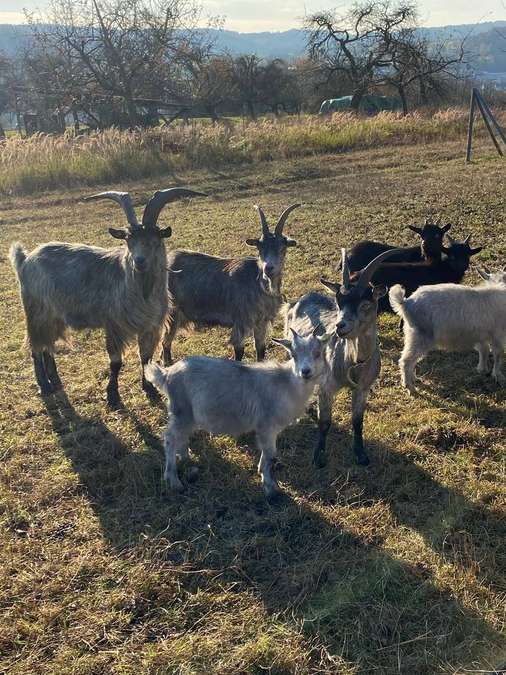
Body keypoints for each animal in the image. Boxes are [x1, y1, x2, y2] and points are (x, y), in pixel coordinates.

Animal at [10, 188, 206, 408]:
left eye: (155, 239)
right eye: (128, 240)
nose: (139, 261)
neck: (141, 292)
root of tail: (25, 259)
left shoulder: (150, 327)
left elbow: (145, 358)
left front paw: (149, 389)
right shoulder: (114, 325)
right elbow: (115, 362)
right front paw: (112, 395)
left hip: (54, 316)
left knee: (47, 347)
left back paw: (56, 382)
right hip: (36, 311)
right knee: (36, 347)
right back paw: (44, 386)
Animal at [145, 326, 330, 499]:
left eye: (317, 353)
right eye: (293, 355)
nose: (305, 371)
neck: (287, 384)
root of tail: (167, 373)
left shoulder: (270, 428)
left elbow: (267, 454)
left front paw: (261, 471)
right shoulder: (266, 425)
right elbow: (270, 455)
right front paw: (270, 487)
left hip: (187, 415)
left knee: (181, 437)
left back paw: (187, 460)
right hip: (181, 410)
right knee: (170, 438)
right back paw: (173, 480)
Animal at [162, 204, 300, 364]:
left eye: (282, 248)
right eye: (259, 248)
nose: (268, 268)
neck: (260, 285)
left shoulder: (261, 322)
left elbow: (260, 350)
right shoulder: (241, 321)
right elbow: (239, 351)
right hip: (172, 312)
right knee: (165, 342)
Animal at [286, 246, 402, 467]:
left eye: (365, 303)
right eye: (339, 303)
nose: (340, 326)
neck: (354, 363)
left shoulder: (363, 388)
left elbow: (357, 421)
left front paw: (361, 455)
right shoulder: (327, 387)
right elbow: (325, 422)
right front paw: (318, 457)